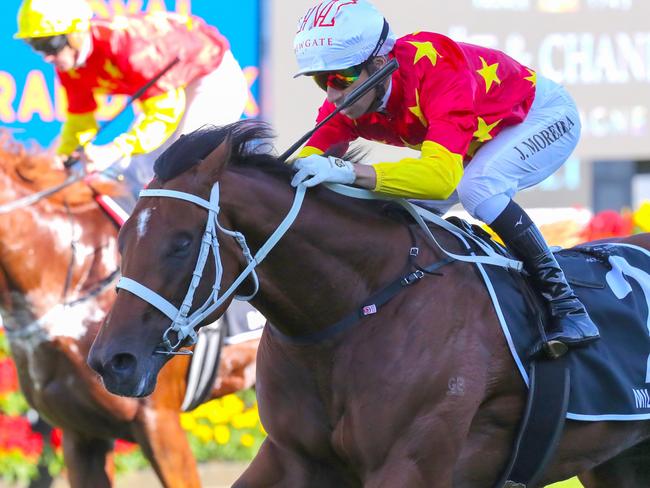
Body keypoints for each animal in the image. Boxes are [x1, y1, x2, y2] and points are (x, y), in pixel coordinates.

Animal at [87, 119, 650, 488]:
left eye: (181, 242)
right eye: (121, 240)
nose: (111, 360)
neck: (351, 316)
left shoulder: (410, 461)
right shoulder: (290, 456)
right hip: (616, 463)